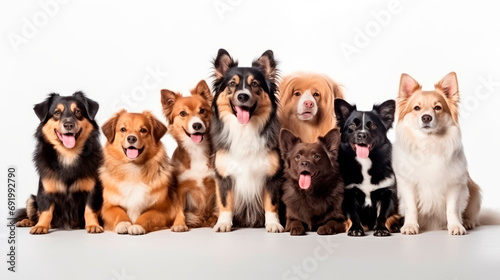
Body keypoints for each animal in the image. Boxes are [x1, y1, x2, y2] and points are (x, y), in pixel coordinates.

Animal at [15, 92, 103, 234]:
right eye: (56, 112)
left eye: (77, 111)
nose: (68, 124)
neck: (68, 154)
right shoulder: (45, 190)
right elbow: (45, 210)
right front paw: (41, 226)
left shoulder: (93, 189)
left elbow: (90, 209)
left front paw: (93, 225)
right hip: (31, 199)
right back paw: (27, 221)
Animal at [334, 98, 400, 236]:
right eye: (352, 126)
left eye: (373, 126)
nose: (362, 135)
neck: (365, 162)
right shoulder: (348, 195)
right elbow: (353, 215)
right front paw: (355, 229)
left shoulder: (386, 194)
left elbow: (382, 215)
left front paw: (381, 229)